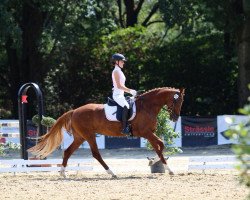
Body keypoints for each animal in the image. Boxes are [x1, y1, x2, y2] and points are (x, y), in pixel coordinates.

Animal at [28, 86, 184, 177]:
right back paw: (112, 172)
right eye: (177, 101)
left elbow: (159, 146)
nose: (175, 117)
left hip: (80, 137)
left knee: (68, 152)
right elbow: (160, 145)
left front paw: (160, 163)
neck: (147, 106)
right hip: (89, 135)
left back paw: (63, 173)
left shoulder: (149, 133)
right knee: (96, 154)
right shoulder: (146, 133)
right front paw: (168, 168)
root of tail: (74, 111)